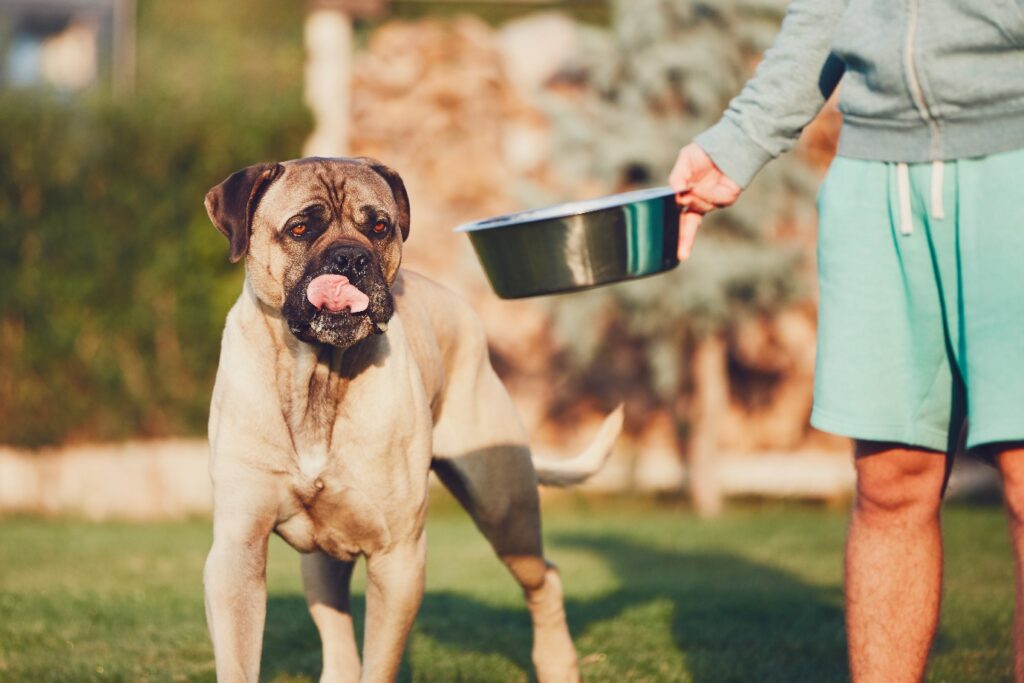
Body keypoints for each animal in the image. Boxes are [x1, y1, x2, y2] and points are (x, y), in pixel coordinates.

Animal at [197, 157, 614, 679]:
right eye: (300, 228)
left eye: (379, 226)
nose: (350, 259)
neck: (317, 377)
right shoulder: (238, 551)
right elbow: (240, 658)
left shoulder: (398, 558)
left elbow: (379, 662)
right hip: (323, 558)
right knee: (336, 630)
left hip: (504, 510)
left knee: (544, 579)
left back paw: (557, 664)